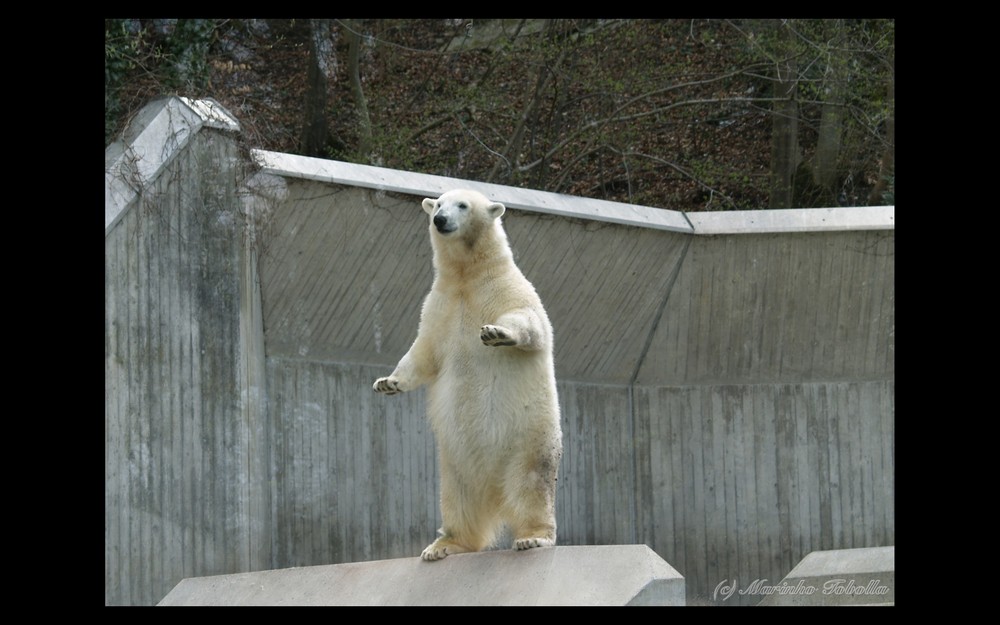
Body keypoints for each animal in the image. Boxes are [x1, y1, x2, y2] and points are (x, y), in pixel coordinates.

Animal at [376, 189, 564, 560]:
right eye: (438, 204)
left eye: (462, 205)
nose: (440, 219)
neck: (469, 274)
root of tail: (494, 490)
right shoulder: (440, 306)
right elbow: (424, 352)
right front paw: (388, 382)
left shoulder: (509, 289)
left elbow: (530, 324)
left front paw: (497, 333)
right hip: (453, 459)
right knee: (457, 499)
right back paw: (444, 545)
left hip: (529, 437)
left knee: (532, 483)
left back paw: (533, 536)